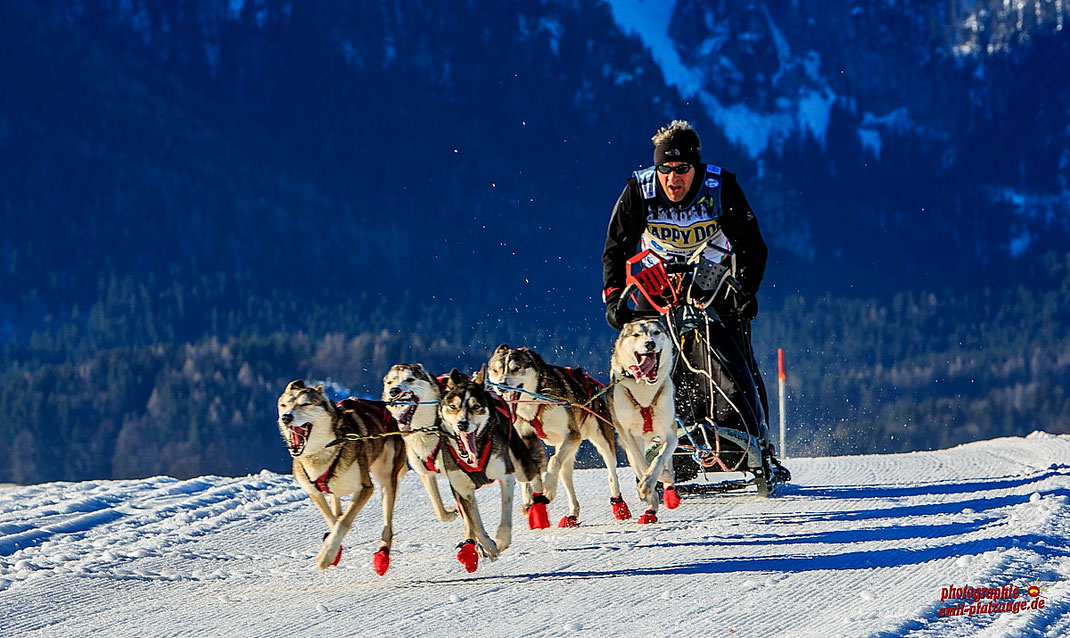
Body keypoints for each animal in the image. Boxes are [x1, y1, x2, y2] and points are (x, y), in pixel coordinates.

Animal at [276, 378, 404, 573]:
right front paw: (333, 550)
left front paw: (326, 556)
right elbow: (333, 520)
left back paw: (382, 556)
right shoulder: (314, 492)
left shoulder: (365, 488)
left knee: (387, 526)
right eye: (284, 405)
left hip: (386, 478)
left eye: (305, 404)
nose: (286, 417)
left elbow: (343, 522)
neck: (322, 451)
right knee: (336, 507)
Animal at [380, 363, 455, 522]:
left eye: (410, 379)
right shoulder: (426, 474)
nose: (394, 390)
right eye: (390, 382)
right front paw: (451, 514)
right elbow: (440, 512)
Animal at [438, 368, 547, 573]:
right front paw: (488, 547)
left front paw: (501, 541)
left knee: (535, 473)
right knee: (468, 523)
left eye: (475, 406)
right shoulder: (462, 490)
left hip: (521, 466)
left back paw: (538, 508)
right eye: (453, 406)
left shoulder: (506, 475)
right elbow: (475, 524)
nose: (462, 424)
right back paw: (471, 546)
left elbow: (506, 515)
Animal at [487, 346, 629, 526]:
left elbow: (553, 462)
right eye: (496, 370)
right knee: (566, 475)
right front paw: (531, 501)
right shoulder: (525, 437)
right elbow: (529, 470)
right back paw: (572, 514)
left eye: (516, 368)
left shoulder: (572, 434)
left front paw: (547, 490)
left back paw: (620, 506)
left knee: (611, 473)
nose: (502, 386)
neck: (534, 401)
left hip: (599, 439)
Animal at [607, 319, 680, 522]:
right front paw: (648, 485)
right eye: (636, 334)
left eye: (656, 333)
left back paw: (668, 488)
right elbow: (642, 463)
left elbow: (660, 459)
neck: (644, 392)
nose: (650, 344)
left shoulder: (671, 434)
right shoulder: (628, 435)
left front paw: (657, 477)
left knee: (666, 461)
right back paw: (650, 506)